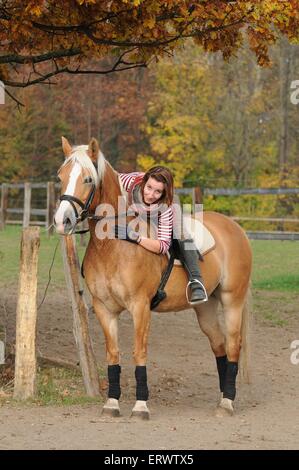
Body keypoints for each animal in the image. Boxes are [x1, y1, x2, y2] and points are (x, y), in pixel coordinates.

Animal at [54, 135, 253, 418]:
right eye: (60, 176)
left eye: (88, 179)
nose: (62, 221)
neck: (113, 247)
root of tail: (235, 227)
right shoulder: (104, 308)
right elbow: (113, 355)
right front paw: (112, 403)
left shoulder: (140, 307)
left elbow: (139, 352)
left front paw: (140, 406)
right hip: (205, 307)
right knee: (220, 346)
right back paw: (223, 395)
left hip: (232, 300)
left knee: (234, 345)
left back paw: (227, 403)